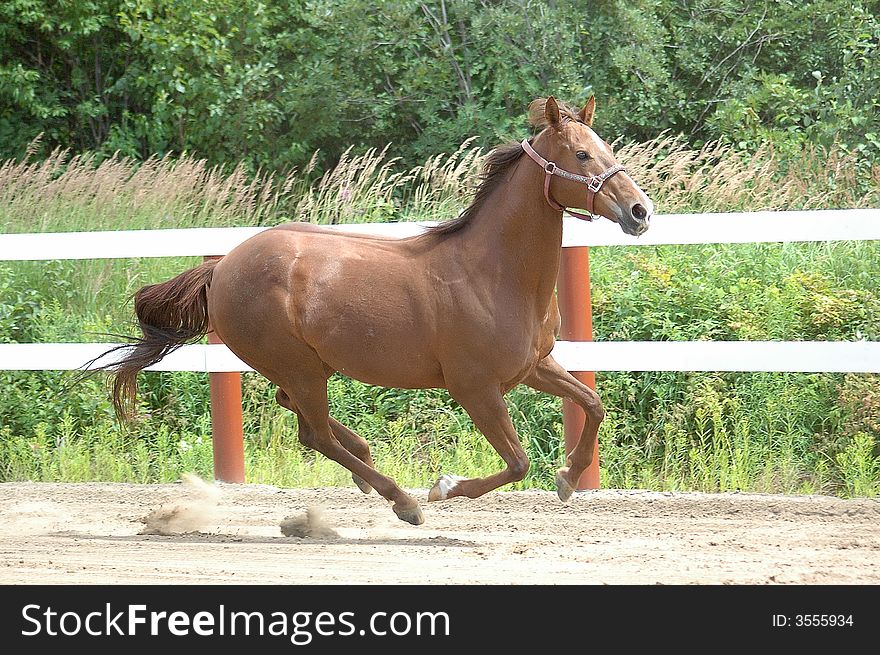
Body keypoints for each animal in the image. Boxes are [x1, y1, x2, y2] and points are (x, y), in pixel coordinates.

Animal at [105, 96, 652, 528]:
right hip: (297, 365)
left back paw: (367, 466)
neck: (491, 273)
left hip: (305, 365)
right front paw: (442, 487)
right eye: (581, 154)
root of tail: (221, 267)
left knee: (299, 415)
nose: (640, 211)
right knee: (315, 432)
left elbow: (592, 404)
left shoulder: (534, 365)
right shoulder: (475, 387)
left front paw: (568, 478)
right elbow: (518, 463)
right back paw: (402, 500)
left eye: (606, 148)